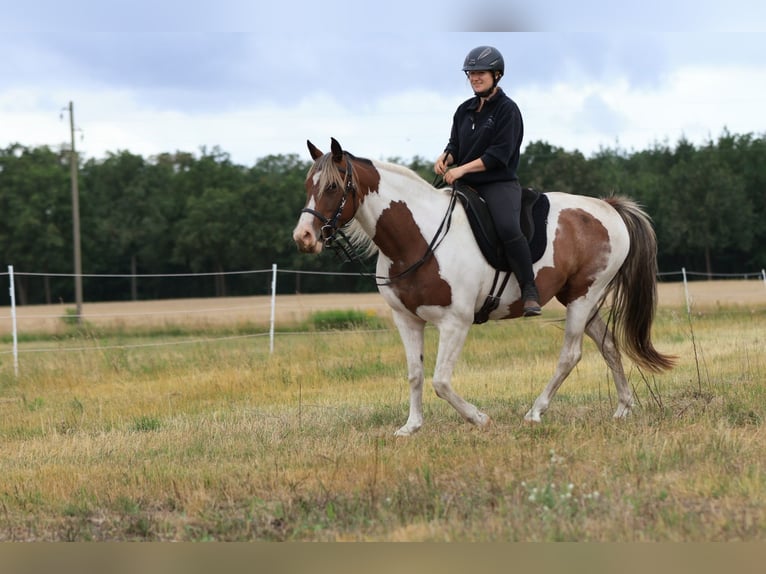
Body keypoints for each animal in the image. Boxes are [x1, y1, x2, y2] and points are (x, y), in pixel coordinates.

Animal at [292, 138, 676, 436]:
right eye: (308, 186)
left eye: (331, 187)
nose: (303, 237)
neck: (418, 237)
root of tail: (607, 207)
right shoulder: (407, 320)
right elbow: (416, 374)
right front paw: (411, 427)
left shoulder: (455, 322)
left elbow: (440, 381)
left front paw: (478, 418)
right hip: (580, 299)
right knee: (608, 345)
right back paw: (623, 407)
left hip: (584, 298)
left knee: (570, 355)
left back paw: (535, 412)